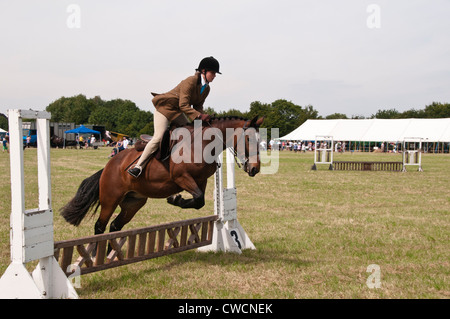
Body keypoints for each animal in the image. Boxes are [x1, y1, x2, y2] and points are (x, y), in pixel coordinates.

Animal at [59, 115, 264, 240]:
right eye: (248, 140)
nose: (255, 169)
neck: (203, 144)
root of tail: (109, 166)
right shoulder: (181, 177)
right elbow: (198, 198)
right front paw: (176, 199)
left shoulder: (201, 180)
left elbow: (199, 201)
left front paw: (177, 199)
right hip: (110, 199)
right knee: (100, 227)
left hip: (133, 202)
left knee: (115, 226)